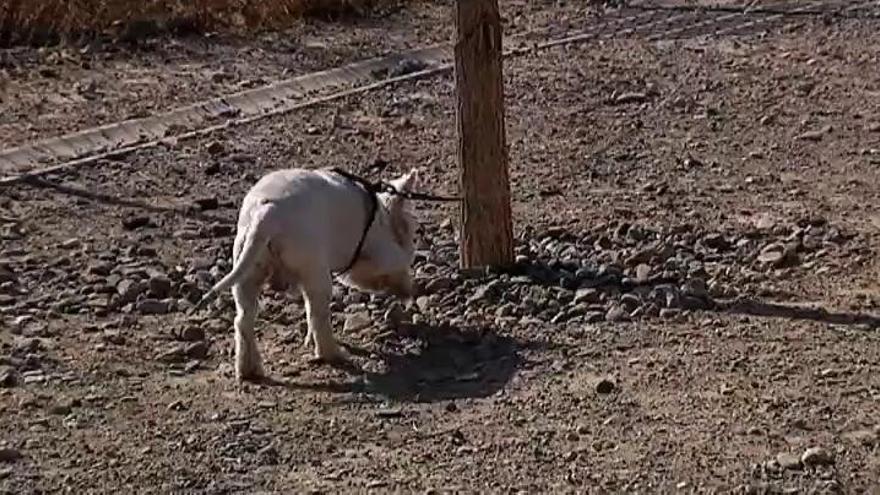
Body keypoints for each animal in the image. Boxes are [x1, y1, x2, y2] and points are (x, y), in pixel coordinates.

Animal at [194, 167, 422, 380]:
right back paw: (335, 354)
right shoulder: (376, 254)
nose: (411, 293)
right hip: (314, 269)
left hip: (247, 267)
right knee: (318, 315)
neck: (383, 217)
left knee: (243, 320)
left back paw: (249, 371)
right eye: (410, 231)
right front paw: (406, 291)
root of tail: (266, 212)